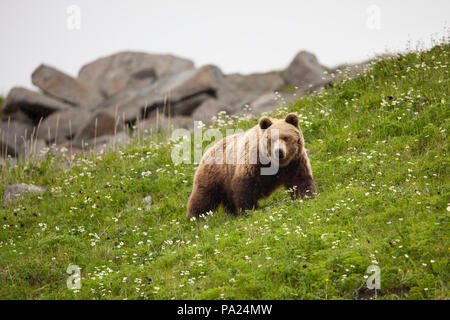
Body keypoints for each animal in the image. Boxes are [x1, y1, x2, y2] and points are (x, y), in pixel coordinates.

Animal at [186, 111, 316, 219]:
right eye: (271, 139)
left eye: (285, 137)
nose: (279, 152)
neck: (276, 164)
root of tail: (207, 151)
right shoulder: (254, 161)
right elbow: (246, 186)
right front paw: (250, 210)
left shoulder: (294, 162)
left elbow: (299, 180)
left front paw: (305, 197)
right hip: (215, 175)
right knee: (203, 198)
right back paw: (195, 219)